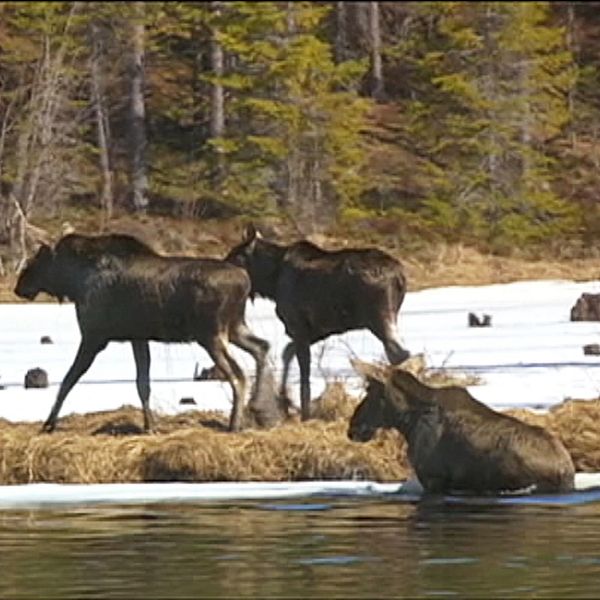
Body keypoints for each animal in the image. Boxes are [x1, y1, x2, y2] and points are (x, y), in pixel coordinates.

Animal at [14, 232, 282, 434]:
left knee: (238, 374)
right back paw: (259, 409)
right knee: (262, 348)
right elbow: (143, 383)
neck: (73, 282)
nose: (19, 287)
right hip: (235, 327)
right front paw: (149, 426)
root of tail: (245, 282)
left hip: (211, 334)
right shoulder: (138, 337)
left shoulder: (94, 336)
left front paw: (48, 424)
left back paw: (236, 422)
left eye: (36, 262)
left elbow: (69, 379)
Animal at [226, 225, 412, 422]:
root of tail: (400, 275)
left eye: (236, 256)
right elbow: (288, 352)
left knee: (398, 354)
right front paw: (285, 402)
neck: (271, 281)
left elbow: (303, 375)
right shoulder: (316, 330)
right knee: (400, 354)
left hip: (378, 318)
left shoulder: (298, 326)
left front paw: (304, 415)